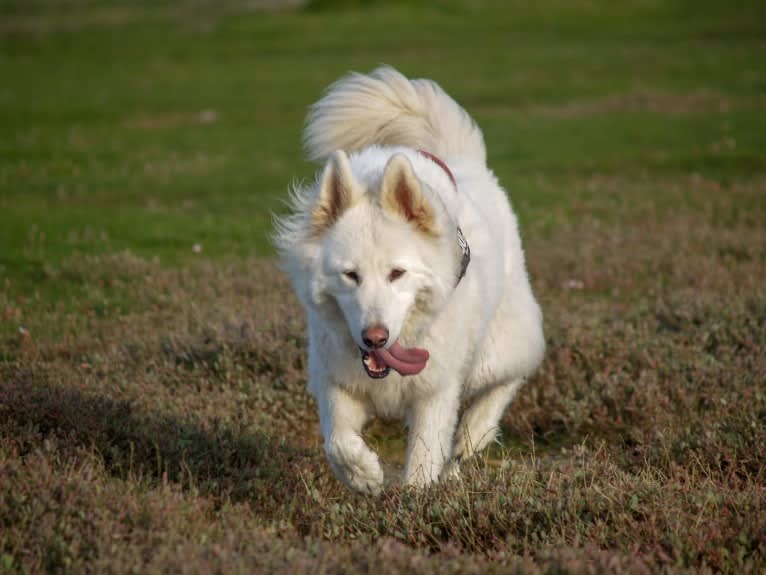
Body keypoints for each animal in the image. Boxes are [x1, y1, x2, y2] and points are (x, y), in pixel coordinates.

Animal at [274, 66, 544, 490]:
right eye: (350, 275)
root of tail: (464, 159)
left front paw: (416, 498)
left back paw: (475, 432)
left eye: (397, 273)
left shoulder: (435, 391)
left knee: (512, 373)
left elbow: (422, 458)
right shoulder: (335, 380)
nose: (375, 337)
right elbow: (338, 441)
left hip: (495, 349)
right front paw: (365, 475)